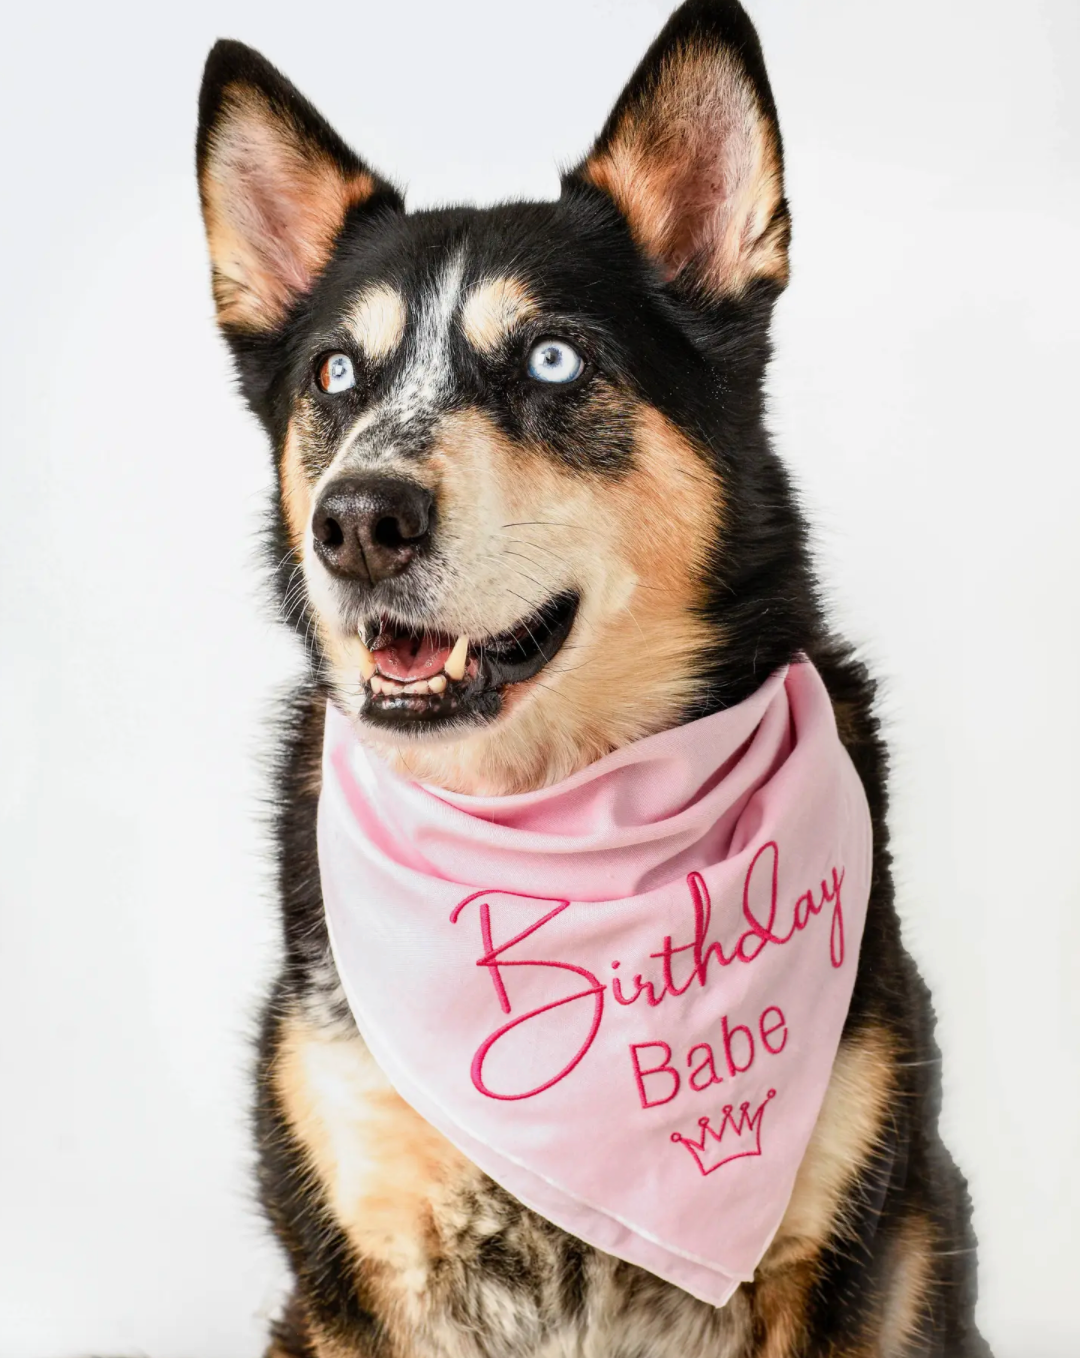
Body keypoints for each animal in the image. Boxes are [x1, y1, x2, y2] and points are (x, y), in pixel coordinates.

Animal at [194, 2, 988, 1358]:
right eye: (336, 376)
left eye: (554, 360)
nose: (357, 521)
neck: (553, 820)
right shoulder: (366, 1257)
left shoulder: (840, 1257)